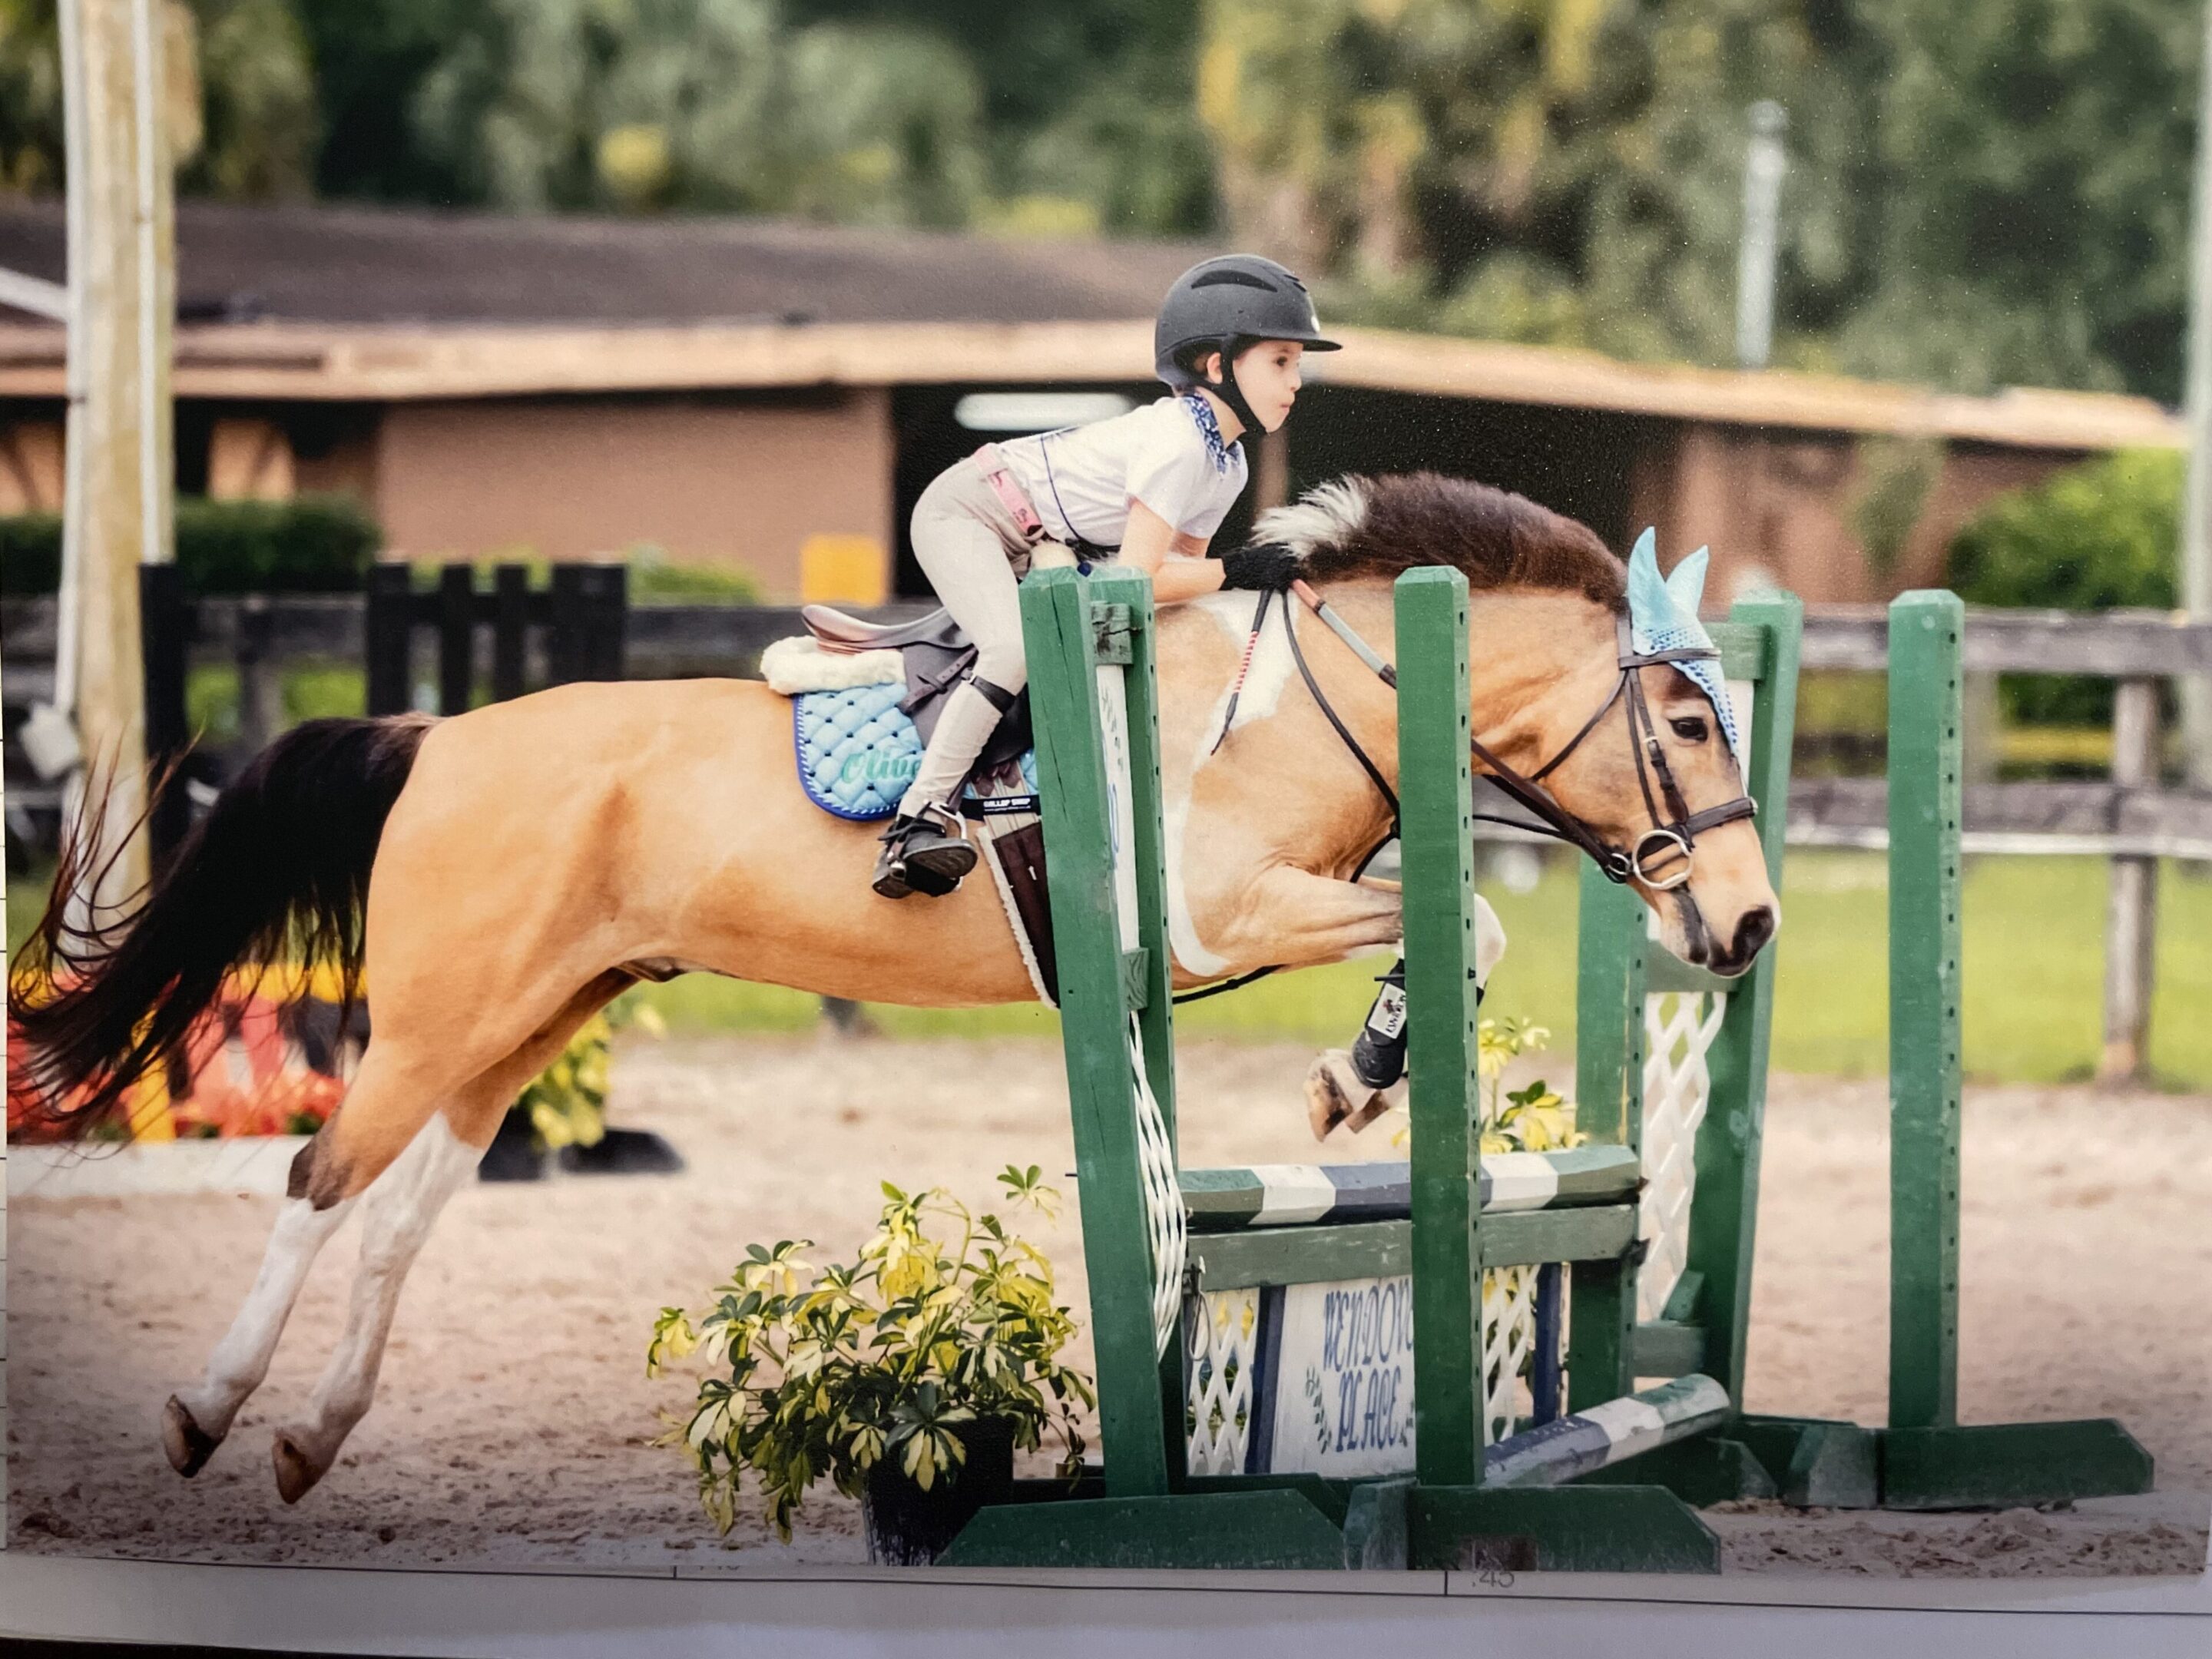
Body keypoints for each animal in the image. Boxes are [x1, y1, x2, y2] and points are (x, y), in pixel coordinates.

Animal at [10, 471, 1779, 1505]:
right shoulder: (1219, 922)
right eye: (1692, 726)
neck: (1319, 695)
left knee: (398, 1216)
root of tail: (434, 736)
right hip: (448, 1017)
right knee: (319, 1179)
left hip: (523, 1025)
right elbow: (1458, 923)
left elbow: (1456, 932)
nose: (1752, 928)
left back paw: (312, 1437)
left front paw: (1358, 1075)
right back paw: (205, 1412)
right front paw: (1360, 1076)